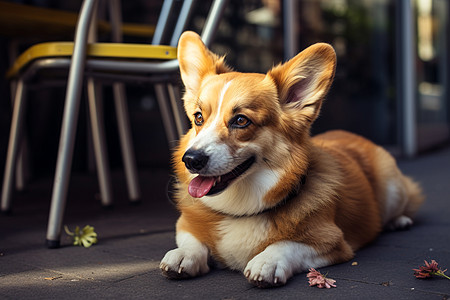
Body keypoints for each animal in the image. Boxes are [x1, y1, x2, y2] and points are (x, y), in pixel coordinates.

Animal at [159, 31, 426, 288]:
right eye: (198, 118)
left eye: (241, 120)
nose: (191, 160)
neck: (242, 209)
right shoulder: (185, 225)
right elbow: (191, 241)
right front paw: (183, 255)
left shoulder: (332, 242)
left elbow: (286, 244)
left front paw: (267, 261)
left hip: (392, 188)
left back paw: (399, 221)